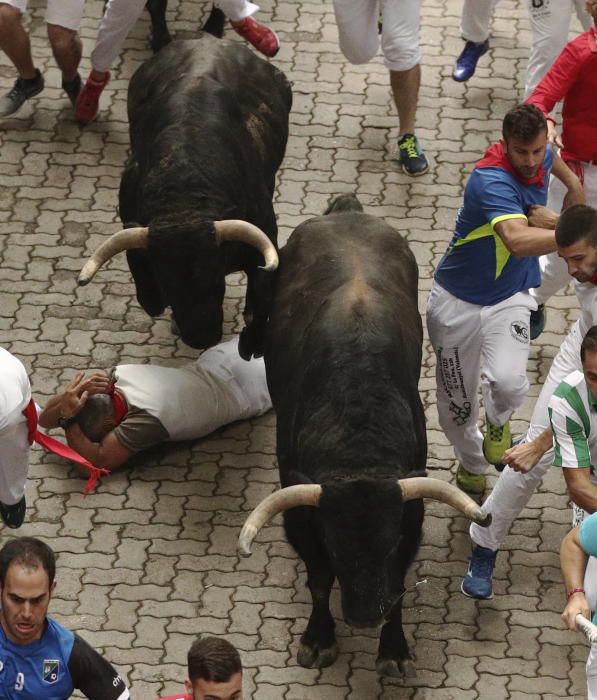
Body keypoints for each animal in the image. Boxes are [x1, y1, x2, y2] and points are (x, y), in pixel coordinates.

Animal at [78, 32, 292, 356]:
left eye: (215, 277)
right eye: (167, 282)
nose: (201, 337)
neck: (184, 197)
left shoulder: (263, 239)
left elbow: (260, 299)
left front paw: (251, 344)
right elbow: (148, 295)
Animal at [237, 196, 488, 680]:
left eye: (388, 545)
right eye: (335, 546)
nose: (365, 616)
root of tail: (346, 212)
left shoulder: (409, 517)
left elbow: (399, 584)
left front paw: (393, 648)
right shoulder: (301, 515)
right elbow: (318, 581)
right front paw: (319, 638)